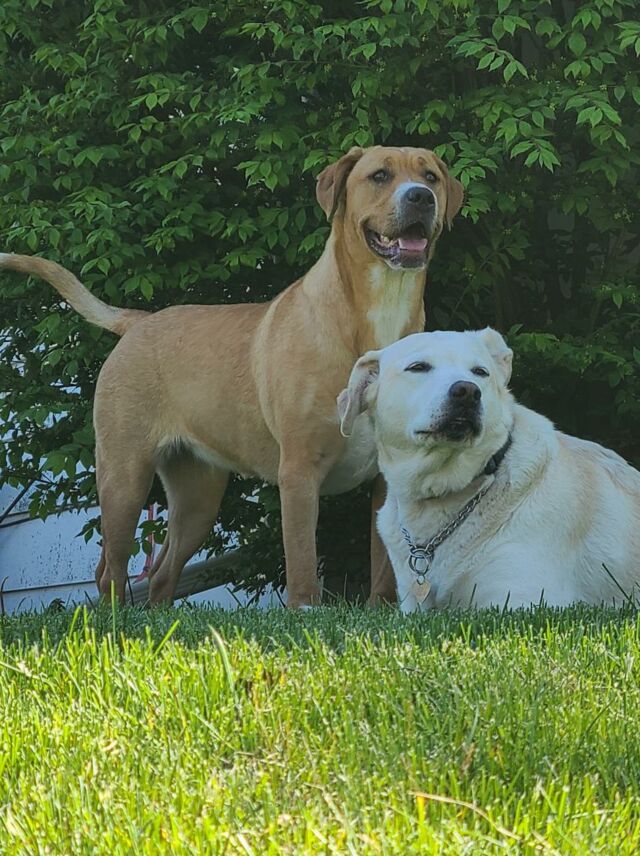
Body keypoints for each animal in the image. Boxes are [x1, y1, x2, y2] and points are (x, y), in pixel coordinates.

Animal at [1, 145, 464, 608]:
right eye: (380, 175)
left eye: (430, 176)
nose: (420, 196)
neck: (379, 309)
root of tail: (138, 321)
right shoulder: (298, 470)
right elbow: (302, 563)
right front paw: (305, 612)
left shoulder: (392, 479)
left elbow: (387, 568)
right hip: (124, 474)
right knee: (109, 569)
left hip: (197, 497)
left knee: (163, 572)